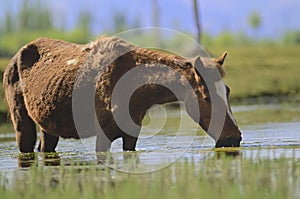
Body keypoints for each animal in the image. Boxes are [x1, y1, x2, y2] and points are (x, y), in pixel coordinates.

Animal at [2, 36, 241, 152]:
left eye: (227, 91)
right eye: (207, 97)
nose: (233, 138)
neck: (137, 95)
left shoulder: (131, 135)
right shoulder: (103, 136)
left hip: (48, 128)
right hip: (22, 125)